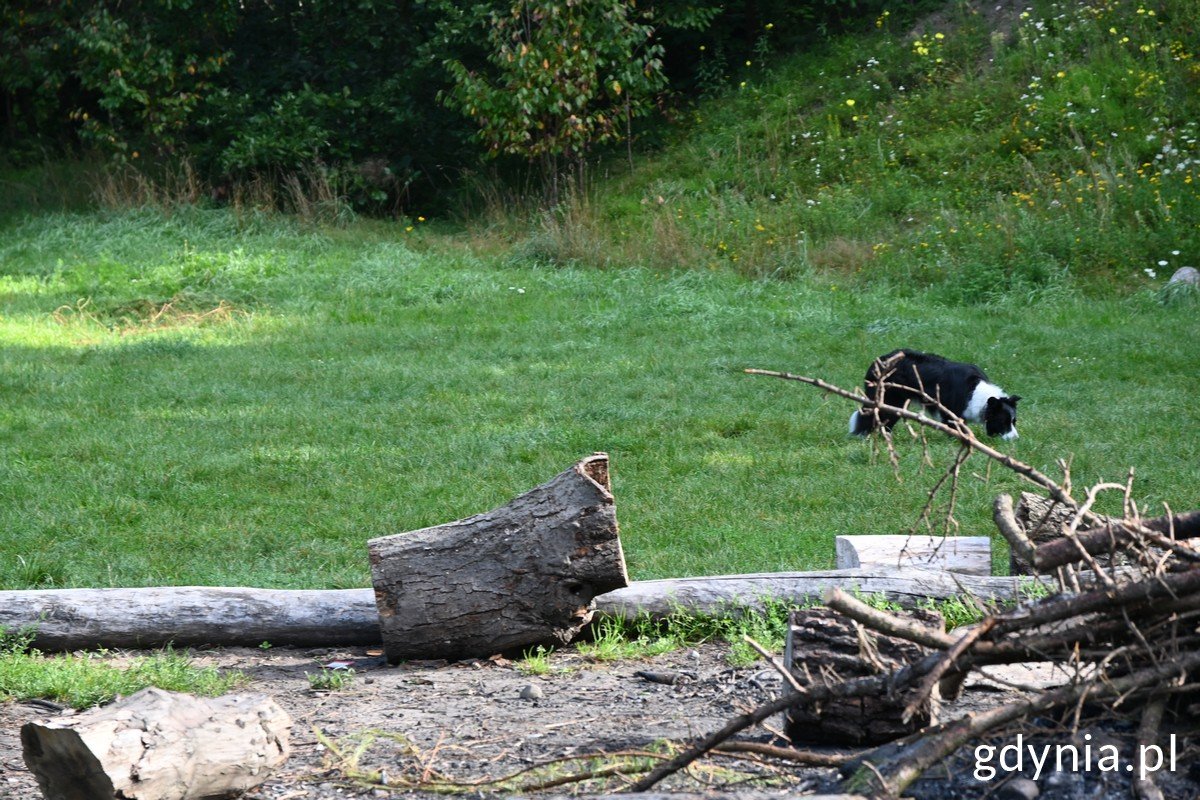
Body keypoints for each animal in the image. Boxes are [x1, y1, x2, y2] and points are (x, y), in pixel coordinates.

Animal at [844, 347, 1022, 441]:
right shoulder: (951, 412)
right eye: (1003, 421)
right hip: (888, 397)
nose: (1015, 439)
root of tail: (878, 361)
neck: (978, 395)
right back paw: (862, 435)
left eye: (1014, 421)